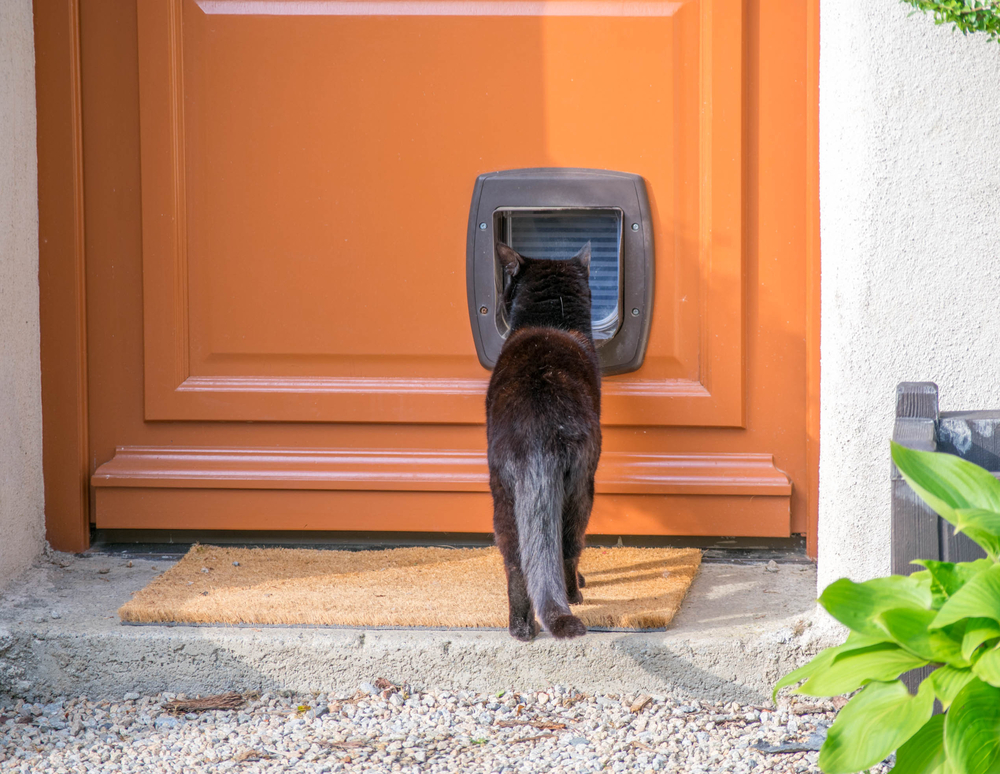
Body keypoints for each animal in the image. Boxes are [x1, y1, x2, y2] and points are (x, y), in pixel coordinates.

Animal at [484, 242, 600, 644]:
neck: (551, 321)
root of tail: (537, 436)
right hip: (581, 487)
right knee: (567, 548)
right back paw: (573, 596)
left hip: (503, 496)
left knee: (517, 564)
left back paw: (521, 628)